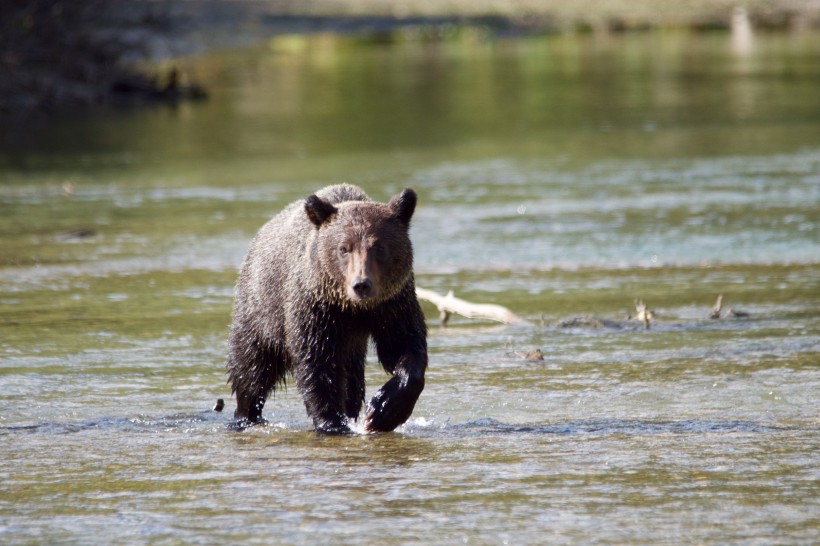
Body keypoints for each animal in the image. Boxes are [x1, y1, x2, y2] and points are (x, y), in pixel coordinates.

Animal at [226, 185, 430, 432]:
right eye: (344, 248)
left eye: (379, 247)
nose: (361, 284)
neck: (354, 308)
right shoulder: (316, 307)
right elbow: (318, 362)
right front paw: (332, 423)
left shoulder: (393, 304)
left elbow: (403, 345)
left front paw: (384, 408)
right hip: (261, 308)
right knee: (252, 365)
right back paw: (245, 414)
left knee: (352, 380)